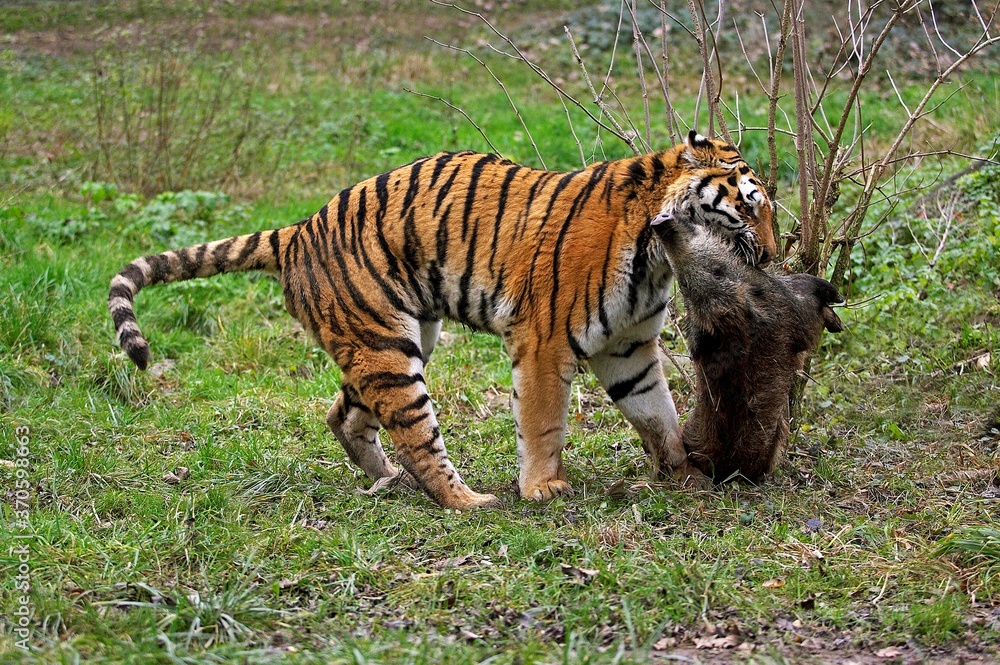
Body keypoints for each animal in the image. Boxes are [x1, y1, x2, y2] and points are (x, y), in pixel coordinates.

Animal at [109, 130, 777, 510]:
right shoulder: (544, 342)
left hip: (396, 339)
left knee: (344, 414)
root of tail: (297, 229)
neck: (658, 253)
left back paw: (386, 481)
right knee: (417, 437)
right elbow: (543, 423)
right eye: (749, 207)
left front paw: (685, 474)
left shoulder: (630, 349)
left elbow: (657, 414)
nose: (772, 256)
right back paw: (469, 500)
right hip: (389, 350)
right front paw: (543, 487)